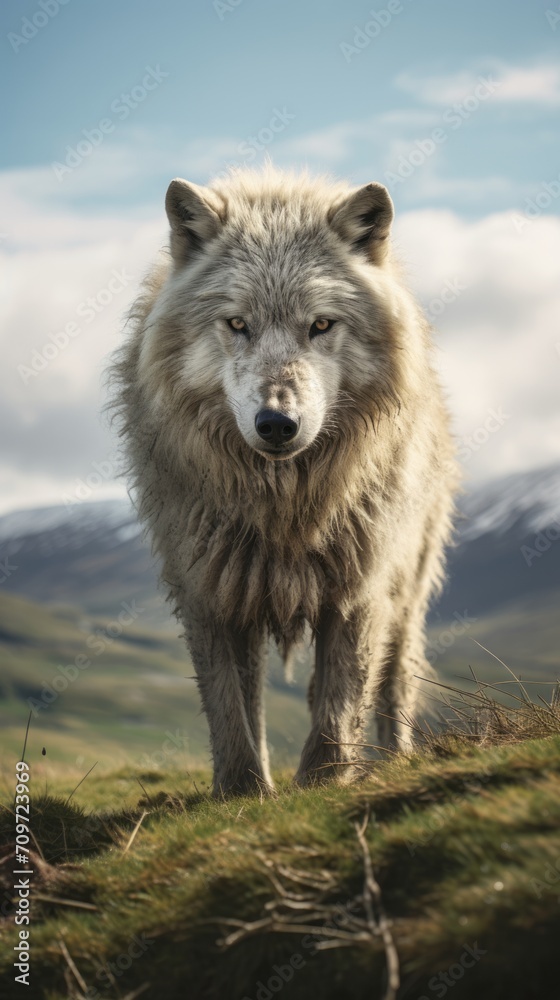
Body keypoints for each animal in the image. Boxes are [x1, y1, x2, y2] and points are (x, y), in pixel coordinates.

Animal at [110, 166, 458, 796]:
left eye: (320, 324)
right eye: (237, 324)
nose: (276, 423)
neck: (284, 507)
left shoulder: (359, 585)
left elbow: (342, 699)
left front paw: (325, 780)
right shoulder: (208, 587)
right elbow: (230, 703)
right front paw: (243, 789)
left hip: (407, 589)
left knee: (395, 679)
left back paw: (395, 761)